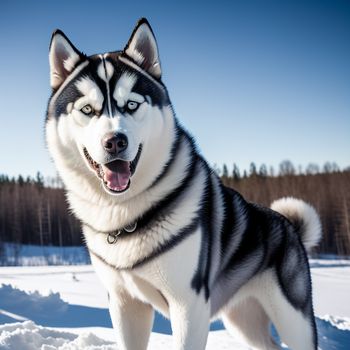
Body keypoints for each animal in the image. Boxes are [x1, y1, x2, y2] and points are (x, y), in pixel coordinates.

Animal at [47, 18, 322, 350]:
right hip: (243, 319)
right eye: (87, 110)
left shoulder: (189, 304)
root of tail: (290, 226)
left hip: (293, 318)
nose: (115, 141)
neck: (126, 214)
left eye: (132, 105)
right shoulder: (125, 303)